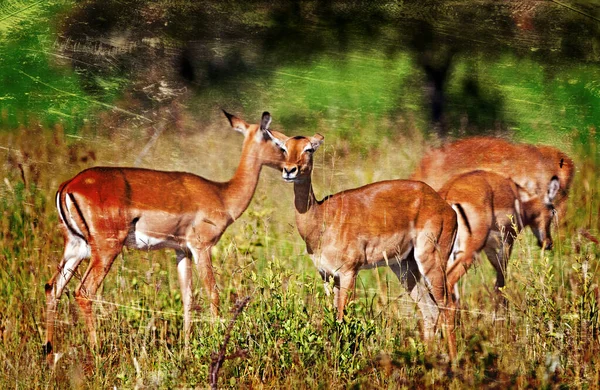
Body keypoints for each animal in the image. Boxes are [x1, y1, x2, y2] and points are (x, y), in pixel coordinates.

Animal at [43, 109, 288, 360]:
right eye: (279, 143)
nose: (290, 168)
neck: (222, 194)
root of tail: (69, 185)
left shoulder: (182, 251)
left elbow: (188, 298)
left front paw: (187, 350)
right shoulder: (202, 247)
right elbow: (213, 293)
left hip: (76, 249)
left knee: (53, 288)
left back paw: (49, 354)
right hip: (105, 249)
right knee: (84, 292)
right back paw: (95, 353)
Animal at [268, 131, 460, 360]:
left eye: (309, 148)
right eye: (284, 148)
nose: (289, 170)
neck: (322, 218)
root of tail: (446, 206)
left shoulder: (349, 272)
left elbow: (342, 318)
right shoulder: (327, 275)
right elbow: (333, 316)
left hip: (431, 259)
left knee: (447, 305)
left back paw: (454, 361)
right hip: (403, 267)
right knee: (430, 310)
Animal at [438, 169, 560, 300]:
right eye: (553, 211)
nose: (548, 243)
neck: (518, 197)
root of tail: (447, 194)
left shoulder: (489, 247)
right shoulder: (507, 240)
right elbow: (501, 277)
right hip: (469, 250)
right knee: (449, 281)